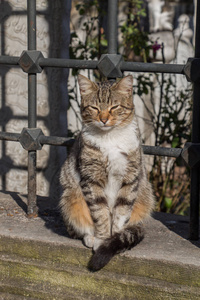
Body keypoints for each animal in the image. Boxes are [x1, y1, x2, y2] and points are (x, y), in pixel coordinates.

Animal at [59, 74, 155, 270]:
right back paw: (90, 237)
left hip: (146, 195)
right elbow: (100, 212)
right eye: (95, 108)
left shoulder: (130, 177)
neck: (110, 138)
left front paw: (114, 239)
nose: (103, 119)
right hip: (70, 196)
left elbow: (121, 212)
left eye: (114, 107)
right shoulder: (90, 178)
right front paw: (103, 238)